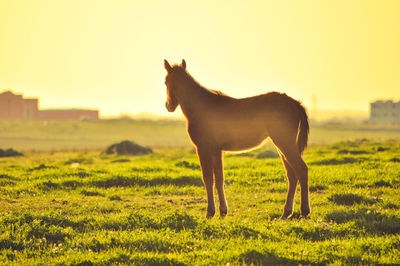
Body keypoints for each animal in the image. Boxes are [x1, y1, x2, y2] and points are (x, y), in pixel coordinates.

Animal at [164, 59, 310, 219]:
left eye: (165, 81)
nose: (168, 106)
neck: (200, 107)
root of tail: (295, 103)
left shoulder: (203, 149)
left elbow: (207, 178)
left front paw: (210, 212)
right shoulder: (216, 150)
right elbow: (219, 179)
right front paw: (223, 211)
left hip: (284, 143)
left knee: (301, 170)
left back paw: (304, 211)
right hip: (282, 145)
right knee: (292, 175)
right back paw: (286, 213)